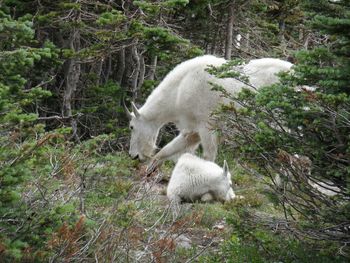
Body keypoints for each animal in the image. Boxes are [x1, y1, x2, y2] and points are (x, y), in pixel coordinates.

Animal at [124, 55, 294, 171]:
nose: (133, 156)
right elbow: (169, 149)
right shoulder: (193, 129)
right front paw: (150, 168)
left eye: (132, 127)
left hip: (281, 123)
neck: (179, 91)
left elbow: (208, 156)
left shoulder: (207, 124)